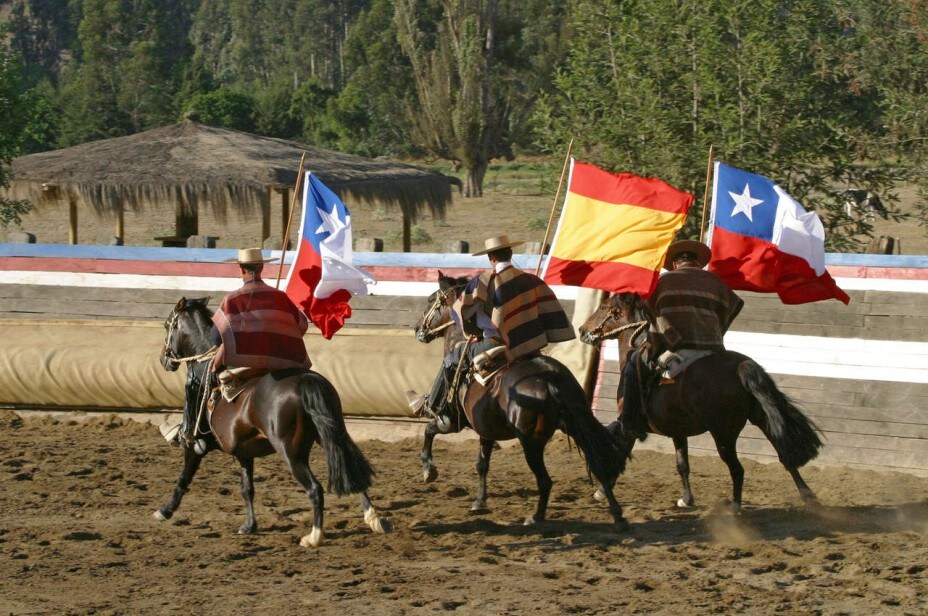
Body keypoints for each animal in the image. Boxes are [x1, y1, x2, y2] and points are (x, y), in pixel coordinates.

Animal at [155, 297, 391, 547]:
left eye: (167, 325)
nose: (164, 359)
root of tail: (305, 380)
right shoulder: (244, 453)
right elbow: (247, 488)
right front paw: (249, 525)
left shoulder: (196, 444)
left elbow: (184, 477)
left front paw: (165, 510)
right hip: (333, 435)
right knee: (351, 472)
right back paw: (374, 520)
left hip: (291, 453)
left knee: (315, 489)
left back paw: (314, 536)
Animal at [413, 272, 631, 531]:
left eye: (431, 300)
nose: (417, 328)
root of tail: (550, 377)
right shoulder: (486, 430)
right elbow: (482, 464)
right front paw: (479, 501)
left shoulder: (455, 423)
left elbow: (429, 430)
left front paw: (428, 470)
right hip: (577, 428)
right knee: (598, 465)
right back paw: (618, 516)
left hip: (531, 443)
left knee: (545, 481)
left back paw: (536, 517)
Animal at [579, 292, 823, 511]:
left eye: (604, 307)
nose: (582, 330)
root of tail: (741, 366)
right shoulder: (677, 432)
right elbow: (682, 465)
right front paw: (687, 499)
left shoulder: (630, 425)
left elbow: (620, 453)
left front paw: (602, 490)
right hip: (762, 420)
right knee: (785, 454)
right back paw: (808, 496)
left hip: (723, 435)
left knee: (738, 470)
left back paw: (734, 508)